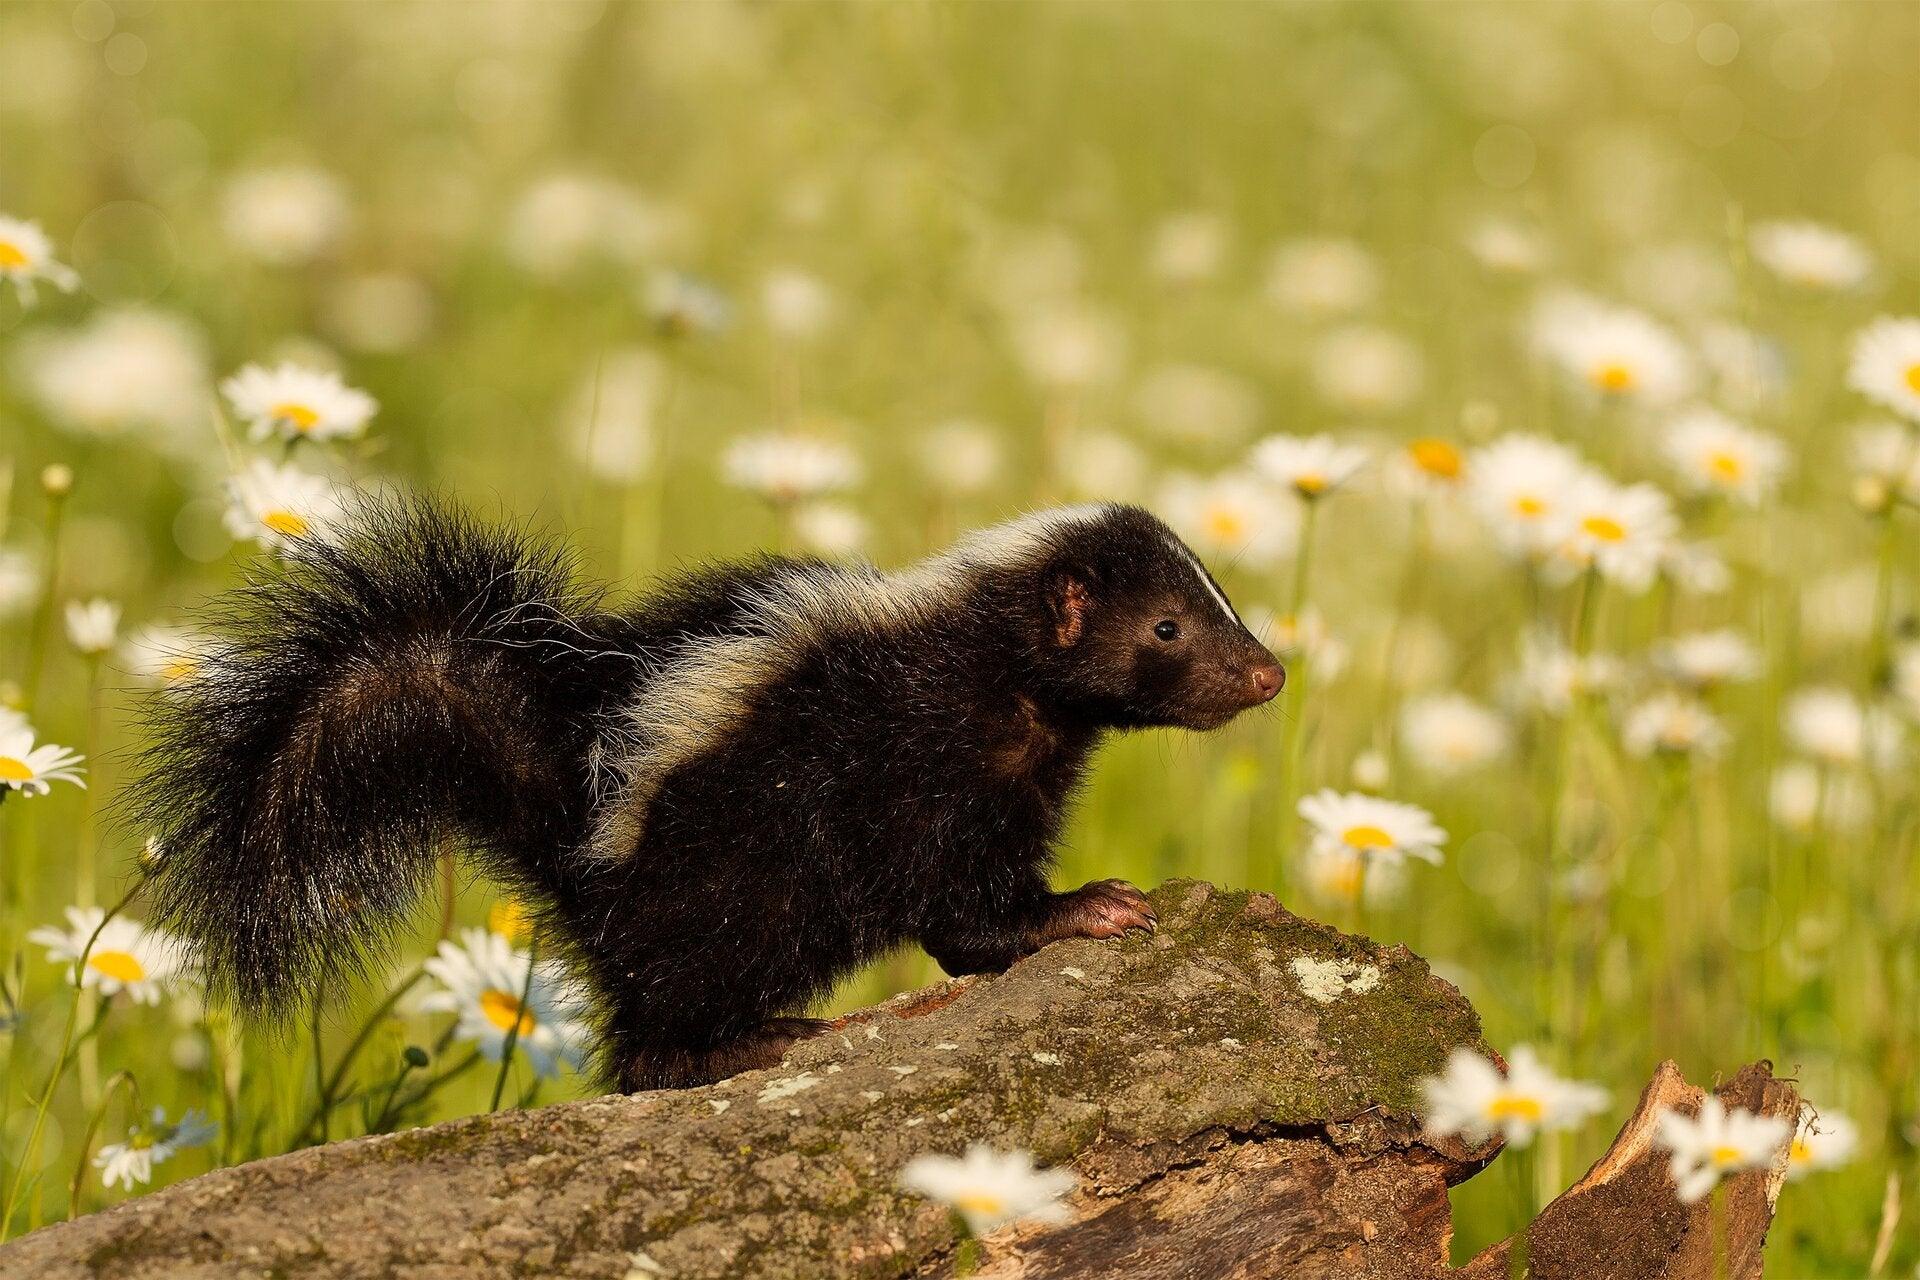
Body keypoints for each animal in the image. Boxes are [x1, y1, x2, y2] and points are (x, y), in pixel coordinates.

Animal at [131, 498, 1274, 1090]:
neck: (991, 661)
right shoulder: (919, 763)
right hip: (720, 876)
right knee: (655, 1029)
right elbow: (965, 907)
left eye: (1214, 600)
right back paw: (754, 1039)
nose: (1266, 673)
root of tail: (574, 811)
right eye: (1168, 627)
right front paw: (1090, 909)